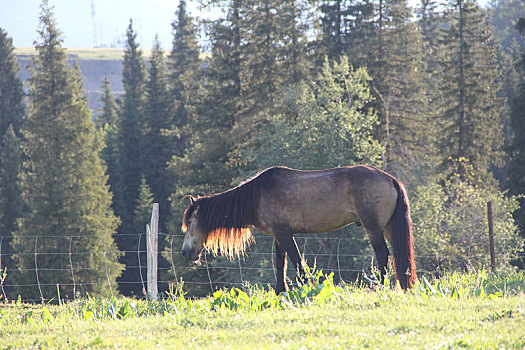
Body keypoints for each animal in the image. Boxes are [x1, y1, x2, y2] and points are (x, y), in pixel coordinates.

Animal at [182, 165, 416, 292]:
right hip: (387, 227)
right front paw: (280, 292)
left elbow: (297, 263)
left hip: (373, 228)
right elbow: (280, 264)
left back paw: (379, 286)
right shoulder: (278, 235)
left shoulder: (285, 234)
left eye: (191, 222)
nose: (186, 252)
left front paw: (307, 289)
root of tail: (391, 179)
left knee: (383, 256)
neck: (257, 196)